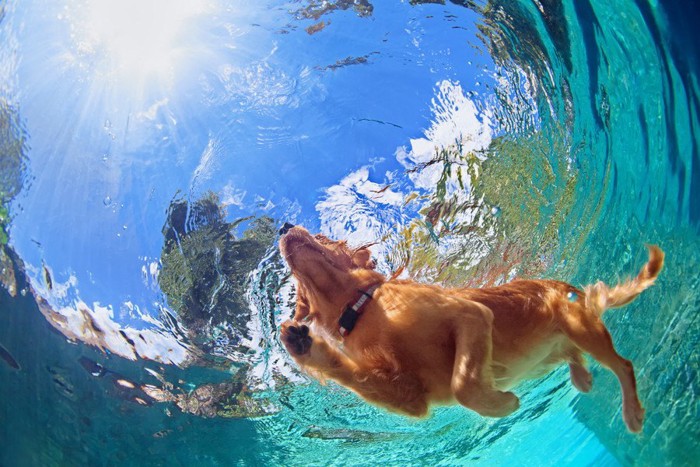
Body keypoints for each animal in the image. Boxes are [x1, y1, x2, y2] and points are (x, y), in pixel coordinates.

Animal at [278, 225, 660, 434]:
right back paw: (582, 377)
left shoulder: (471, 315)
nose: (284, 225)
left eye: (323, 236)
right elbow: (358, 376)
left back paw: (632, 412)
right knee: (576, 356)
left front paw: (501, 404)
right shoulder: (411, 397)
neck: (363, 308)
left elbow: (463, 384)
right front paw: (302, 344)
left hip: (580, 326)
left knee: (624, 365)